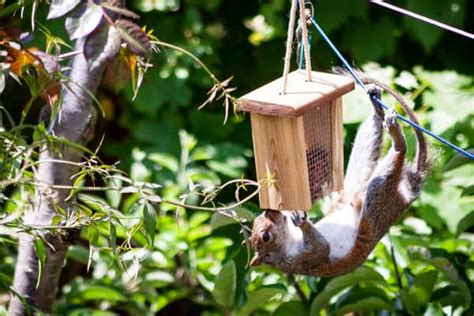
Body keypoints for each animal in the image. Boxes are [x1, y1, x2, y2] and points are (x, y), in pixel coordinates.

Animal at [248, 71, 430, 276]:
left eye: (258, 219)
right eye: (265, 237)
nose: (270, 211)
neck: (288, 242)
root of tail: (407, 194)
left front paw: (290, 212)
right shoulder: (304, 261)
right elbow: (322, 248)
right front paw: (300, 222)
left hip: (355, 184)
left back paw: (376, 106)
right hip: (377, 207)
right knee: (390, 168)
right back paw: (397, 139)